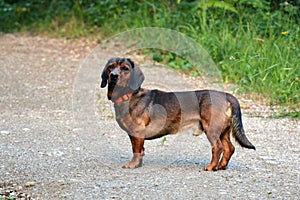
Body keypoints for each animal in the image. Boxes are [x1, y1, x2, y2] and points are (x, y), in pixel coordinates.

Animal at [101, 57, 255, 171]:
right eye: (110, 67)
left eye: (125, 69)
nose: (113, 76)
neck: (129, 96)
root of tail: (228, 96)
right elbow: (140, 149)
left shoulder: (137, 132)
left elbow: (136, 149)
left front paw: (133, 164)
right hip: (223, 130)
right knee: (229, 148)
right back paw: (221, 166)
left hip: (211, 128)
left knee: (218, 147)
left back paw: (211, 166)